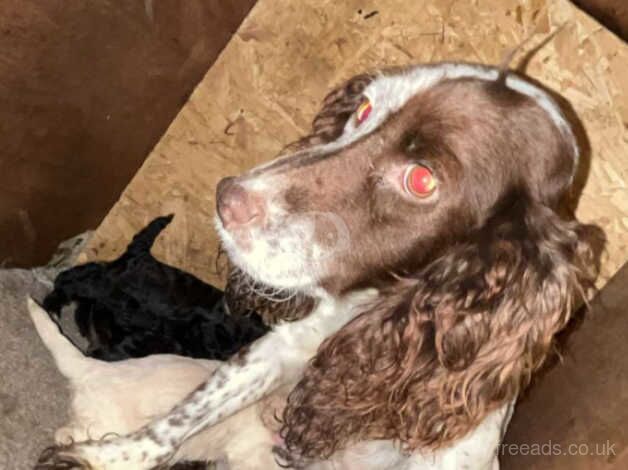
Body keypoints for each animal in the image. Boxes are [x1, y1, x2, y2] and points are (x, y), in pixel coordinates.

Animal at [43, 215, 268, 362]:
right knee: (69, 282)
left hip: (104, 274)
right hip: (103, 283)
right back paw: (52, 306)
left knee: (77, 275)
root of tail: (142, 254)